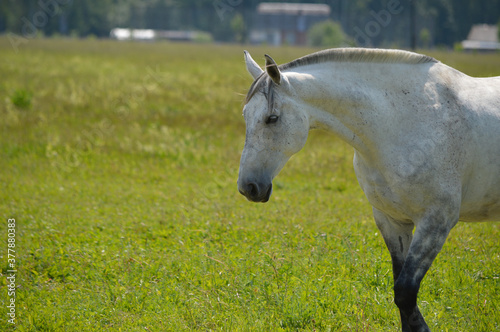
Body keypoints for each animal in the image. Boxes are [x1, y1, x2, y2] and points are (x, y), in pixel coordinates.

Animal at [237, 48, 500, 332]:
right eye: (245, 115)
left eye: (272, 119)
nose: (247, 187)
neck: (403, 122)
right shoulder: (392, 221)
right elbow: (401, 294)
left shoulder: (436, 222)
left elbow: (405, 292)